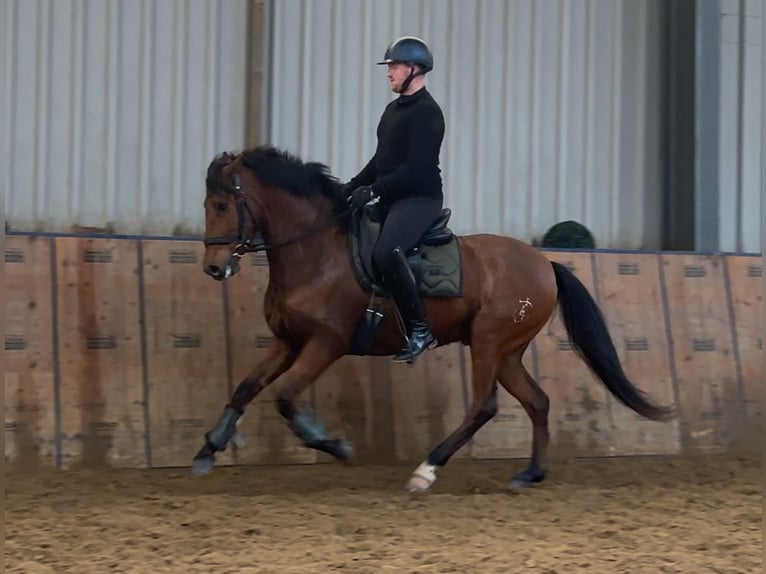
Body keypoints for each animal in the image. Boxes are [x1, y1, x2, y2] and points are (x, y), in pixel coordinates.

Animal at [192, 145, 675, 493]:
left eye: (222, 204)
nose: (214, 268)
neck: (315, 251)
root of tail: (546, 264)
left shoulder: (326, 343)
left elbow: (286, 398)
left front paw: (336, 445)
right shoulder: (287, 340)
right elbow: (246, 387)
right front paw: (208, 450)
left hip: (489, 343)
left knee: (483, 406)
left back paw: (426, 470)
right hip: (506, 352)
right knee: (537, 402)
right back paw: (529, 475)